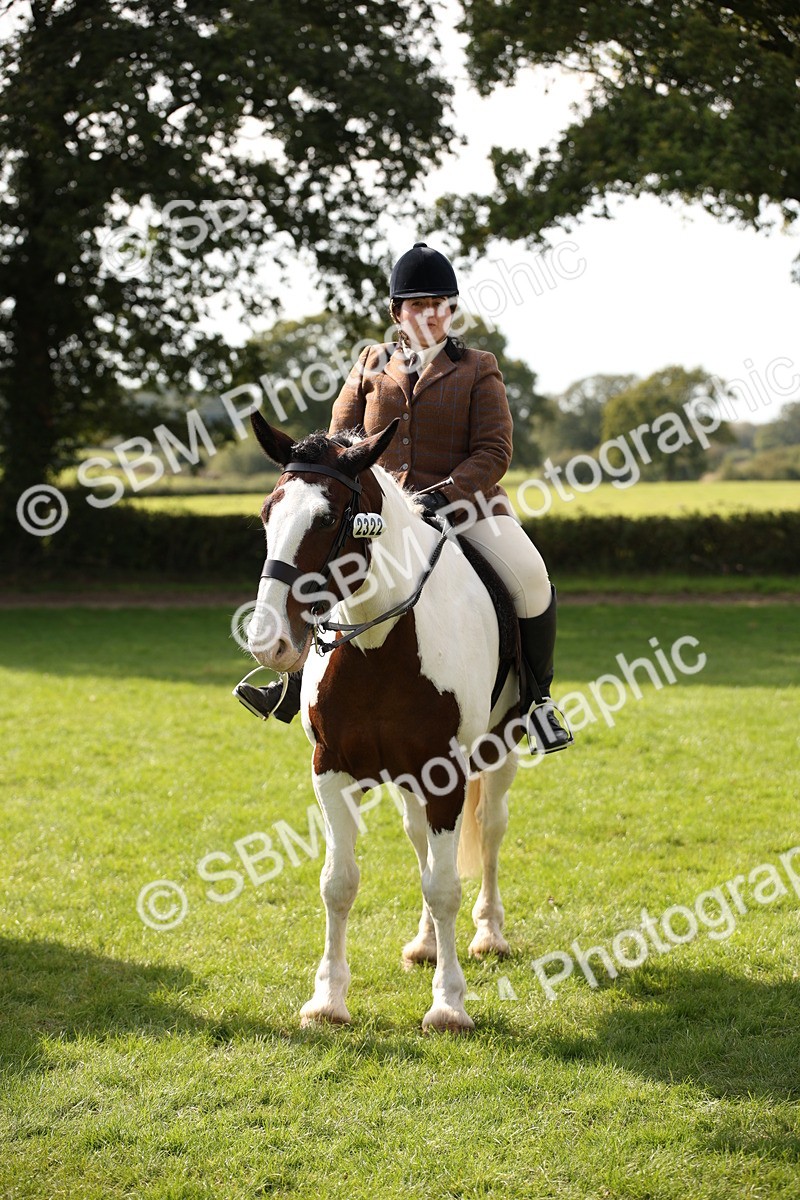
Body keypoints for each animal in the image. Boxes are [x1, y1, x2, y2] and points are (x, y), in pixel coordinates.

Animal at [245, 410, 527, 1032]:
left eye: (328, 519)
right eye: (267, 514)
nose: (268, 643)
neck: (379, 642)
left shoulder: (445, 773)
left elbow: (445, 886)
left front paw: (448, 1005)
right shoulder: (330, 771)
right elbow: (338, 883)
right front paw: (327, 1000)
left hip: (500, 750)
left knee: (490, 829)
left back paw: (489, 935)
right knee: (420, 840)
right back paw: (425, 945)